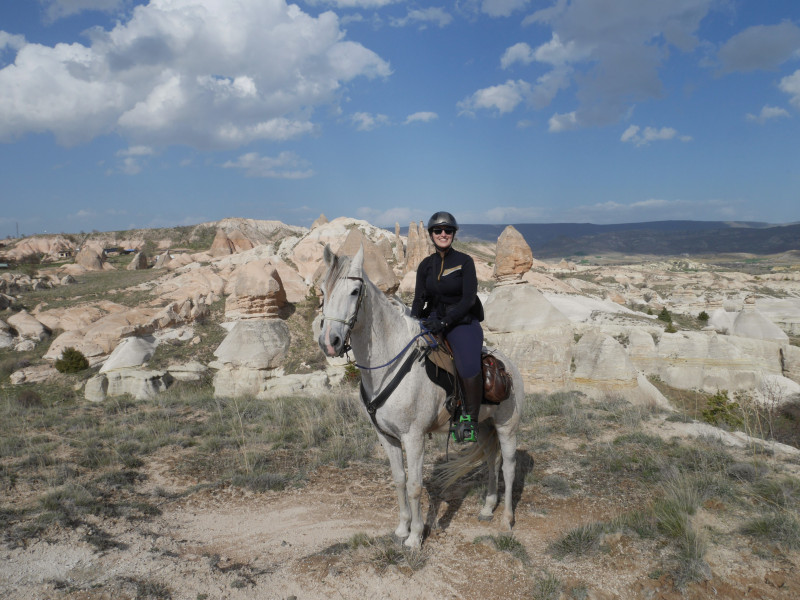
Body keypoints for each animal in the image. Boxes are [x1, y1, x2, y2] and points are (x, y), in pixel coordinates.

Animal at [316, 245, 520, 548]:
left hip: (507, 428)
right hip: (484, 427)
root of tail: (509, 366)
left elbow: (415, 485)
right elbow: (399, 480)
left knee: (508, 466)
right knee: (491, 461)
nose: (330, 342)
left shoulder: (413, 437)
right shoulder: (387, 437)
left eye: (354, 291)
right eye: (323, 291)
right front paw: (402, 528)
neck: (387, 364)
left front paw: (415, 537)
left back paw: (506, 520)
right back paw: (487, 508)